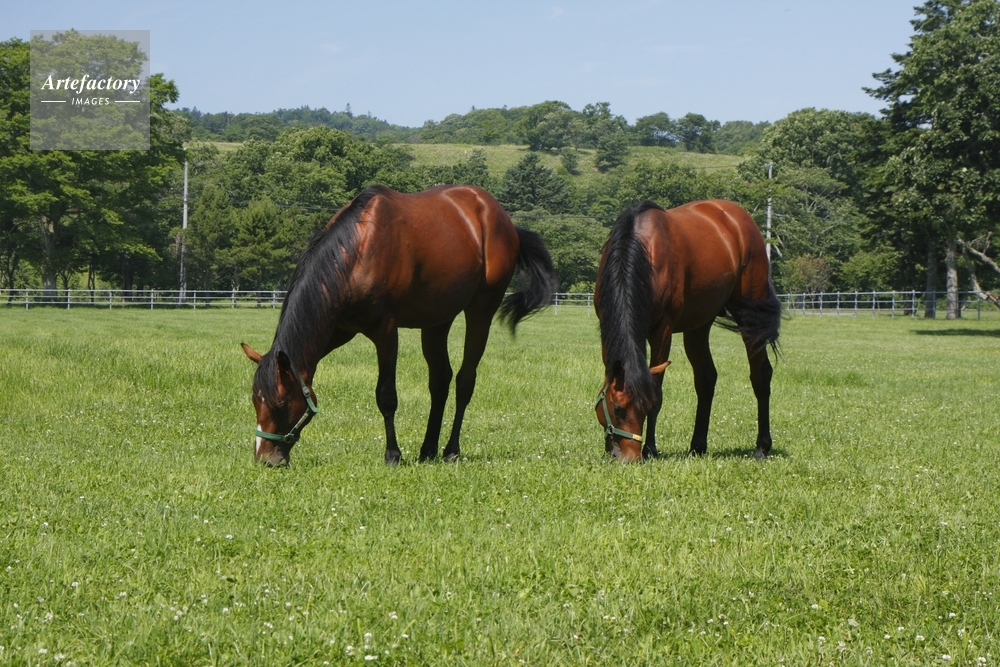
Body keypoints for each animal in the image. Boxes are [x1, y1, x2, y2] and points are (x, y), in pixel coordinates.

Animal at [241, 184, 557, 466]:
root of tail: (501, 217)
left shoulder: (386, 332)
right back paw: (428, 449)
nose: (265, 459)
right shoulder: (337, 330)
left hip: (481, 310)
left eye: (280, 405)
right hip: (437, 320)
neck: (358, 250)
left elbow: (386, 395)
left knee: (465, 380)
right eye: (255, 401)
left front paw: (392, 454)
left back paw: (451, 450)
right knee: (440, 380)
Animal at [593, 199, 780, 462]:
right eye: (618, 408)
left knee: (761, 375)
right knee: (706, 378)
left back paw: (762, 447)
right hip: (698, 326)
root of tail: (739, 216)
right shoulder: (605, 327)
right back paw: (697, 446)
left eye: (644, 407)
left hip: (751, 317)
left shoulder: (662, 330)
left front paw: (650, 449)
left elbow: (657, 390)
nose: (631, 458)